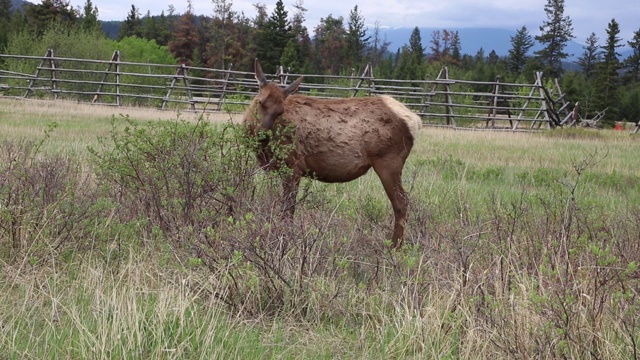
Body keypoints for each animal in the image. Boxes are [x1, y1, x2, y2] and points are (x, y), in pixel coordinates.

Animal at [244, 59, 420, 250]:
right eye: (260, 101)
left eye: (280, 111)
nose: (261, 133)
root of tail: (414, 120)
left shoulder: (294, 165)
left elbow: (288, 208)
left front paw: (284, 240)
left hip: (388, 160)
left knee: (401, 202)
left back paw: (394, 247)